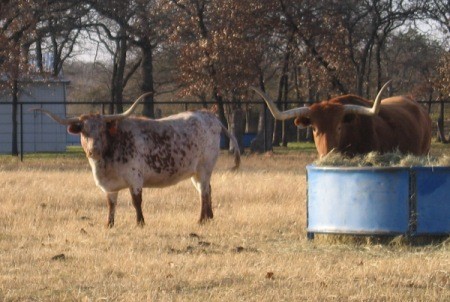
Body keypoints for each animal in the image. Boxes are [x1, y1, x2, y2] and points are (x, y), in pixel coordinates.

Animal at [33, 94, 241, 226]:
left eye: (102, 130)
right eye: (84, 131)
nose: (93, 150)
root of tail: (210, 116)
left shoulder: (135, 179)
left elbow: (136, 201)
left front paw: (140, 223)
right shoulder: (109, 187)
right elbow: (111, 204)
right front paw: (109, 224)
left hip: (205, 168)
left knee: (204, 192)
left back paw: (201, 220)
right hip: (195, 172)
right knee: (206, 190)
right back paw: (210, 217)